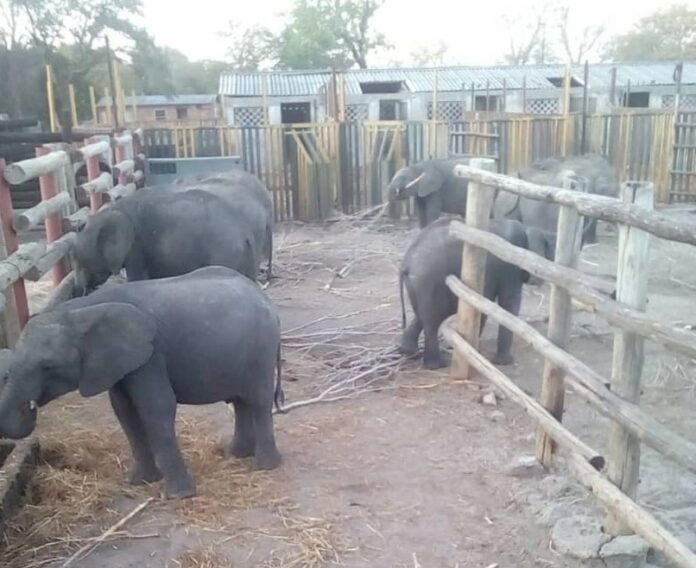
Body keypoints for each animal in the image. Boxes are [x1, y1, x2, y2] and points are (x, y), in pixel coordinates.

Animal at [0, 266, 283, 499]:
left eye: (48, 367)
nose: (30, 406)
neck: (82, 309)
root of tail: (264, 297)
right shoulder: (118, 363)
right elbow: (125, 411)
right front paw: (139, 482)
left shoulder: (150, 354)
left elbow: (155, 408)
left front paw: (178, 496)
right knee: (240, 401)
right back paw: (236, 454)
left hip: (261, 349)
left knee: (257, 401)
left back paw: (264, 466)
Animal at [72, 187, 259, 295]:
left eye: (78, 259)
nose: (81, 290)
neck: (110, 211)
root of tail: (245, 233)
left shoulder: (136, 248)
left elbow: (138, 277)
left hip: (225, 252)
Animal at [399, 217, 530, 369]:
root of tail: (406, 263)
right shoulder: (509, 265)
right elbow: (508, 301)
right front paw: (502, 361)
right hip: (428, 280)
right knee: (433, 320)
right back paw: (437, 365)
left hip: (416, 283)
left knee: (422, 315)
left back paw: (409, 352)